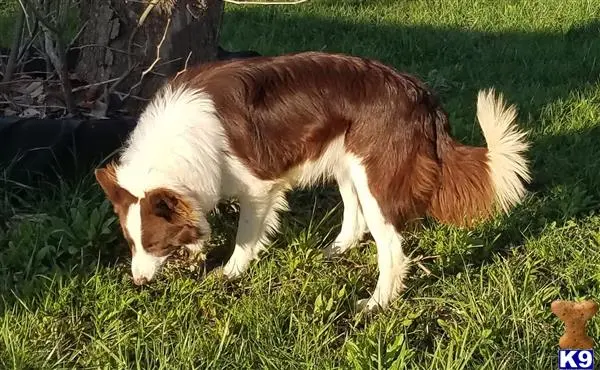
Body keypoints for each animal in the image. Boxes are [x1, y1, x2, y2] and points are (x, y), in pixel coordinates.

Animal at [96, 52, 532, 310]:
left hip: (375, 175)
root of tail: (421, 94)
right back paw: (336, 250)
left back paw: (376, 304)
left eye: (154, 244)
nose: (137, 283)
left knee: (391, 248)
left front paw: (229, 273)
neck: (174, 148)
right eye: (131, 243)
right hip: (346, 160)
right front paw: (195, 254)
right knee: (355, 216)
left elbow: (244, 237)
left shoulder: (258, 186)